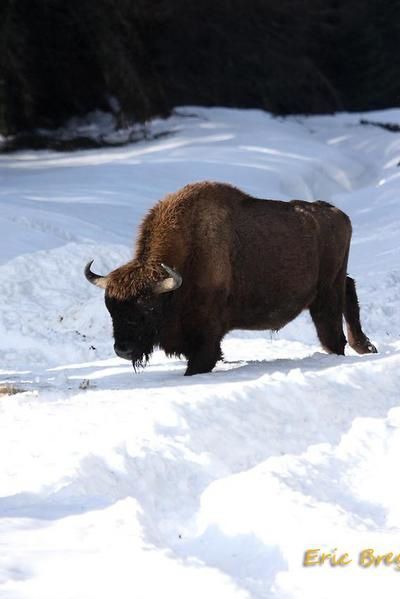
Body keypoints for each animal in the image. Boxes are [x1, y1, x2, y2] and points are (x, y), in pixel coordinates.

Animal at [83, 180, 376, 376]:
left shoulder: (205, 337)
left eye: (148, 309)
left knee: (333, 334)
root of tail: (339, 215)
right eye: (111, 309)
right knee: (350, 290)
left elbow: (201, 361)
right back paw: (366, 346)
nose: (123, 350)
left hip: (326, 295)